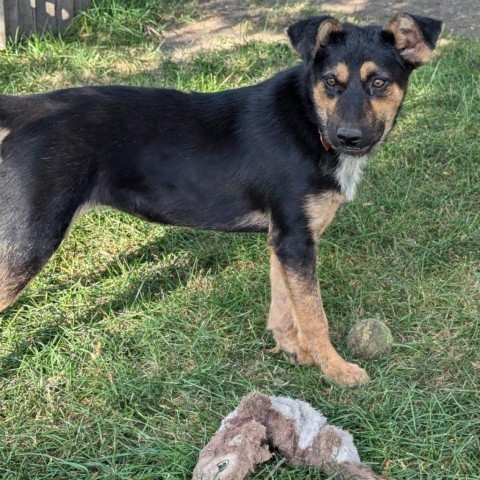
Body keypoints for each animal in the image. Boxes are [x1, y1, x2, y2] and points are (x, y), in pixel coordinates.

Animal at [0, 13, 442, 386]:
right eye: (331, 82)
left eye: (379, 83)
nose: (348, 138)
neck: (310, 121)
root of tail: (32, 107)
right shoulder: (296, 239)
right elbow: (314, 315)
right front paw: (336, 370)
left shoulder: (285, 239)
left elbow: (285, 305)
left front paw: (294, 352)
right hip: (30, 239)